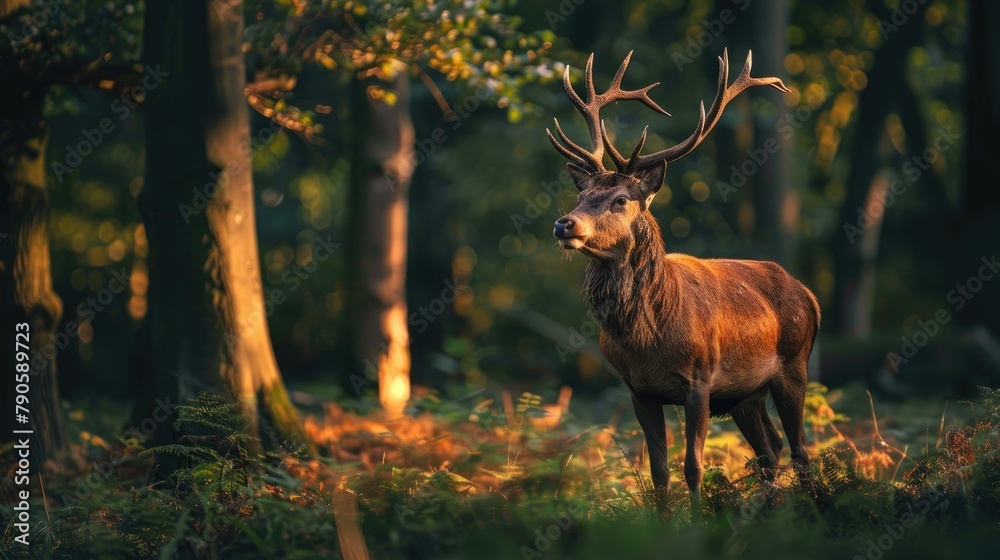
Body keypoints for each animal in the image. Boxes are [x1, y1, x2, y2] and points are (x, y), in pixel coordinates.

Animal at [547, 50, 820, 511]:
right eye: (581, 196)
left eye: (620, 200)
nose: (564, 224)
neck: (647, 340)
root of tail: (811, 296)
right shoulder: (639, 390)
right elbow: (658, 472)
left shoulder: (699, 381)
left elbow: (692, 466)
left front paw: (696, 521)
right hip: (746, 394)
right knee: (771, 449)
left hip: (793, 365)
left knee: (801, 450)